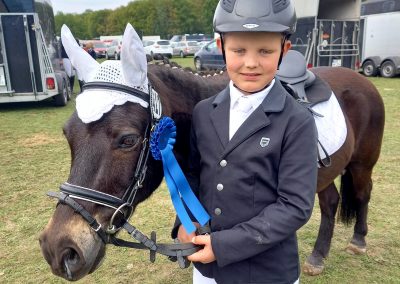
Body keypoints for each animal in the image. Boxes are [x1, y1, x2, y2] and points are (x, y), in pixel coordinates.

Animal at [38, 23, 384, 280]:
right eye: (68, 135)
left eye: (128, 140)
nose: (59, 249)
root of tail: (360, 78)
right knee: (330, 202)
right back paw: (317, 257)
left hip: (361, 165)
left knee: (363, 193)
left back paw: (358, 241)